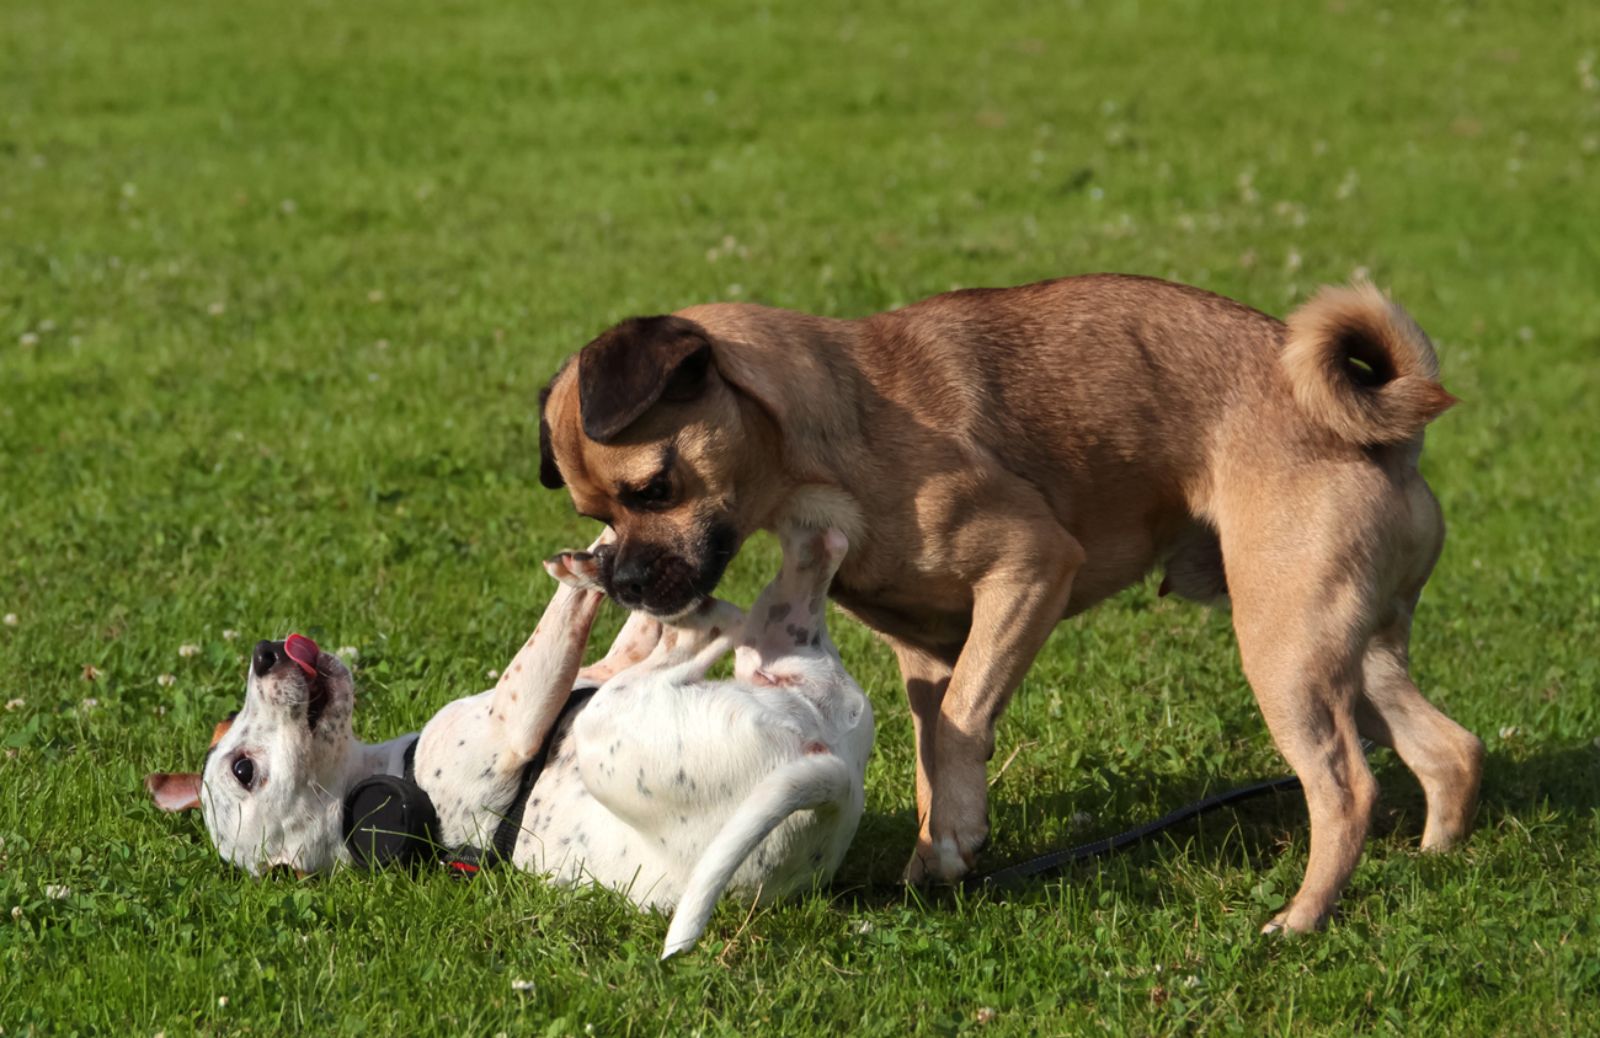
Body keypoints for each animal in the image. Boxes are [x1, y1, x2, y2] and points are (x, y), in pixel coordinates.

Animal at [147, 527, 876, 953]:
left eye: (228, 734)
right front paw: (598, 564)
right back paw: (709, 604)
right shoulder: (517, 725)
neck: (384, 774)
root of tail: (832, 779)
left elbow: (613, 637)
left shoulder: (584, 671)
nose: (265, 652)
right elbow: (569, 626)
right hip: (618, 726)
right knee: (704, 640)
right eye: (245, 771)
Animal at [540, 275, 1484, 934]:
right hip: (1345, 651)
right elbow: (934, 747)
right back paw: (1437, 862)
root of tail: (1388, 435)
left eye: (654, 490)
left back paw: (1302, 918)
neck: (837, 427)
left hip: (1283, 651)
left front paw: (956, 837)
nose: (621, 581)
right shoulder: (925, 655)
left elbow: (963, 722)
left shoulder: (1030, 568)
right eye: (594, 516)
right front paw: (936, 853)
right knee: (1450, 751)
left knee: (1348, 789)